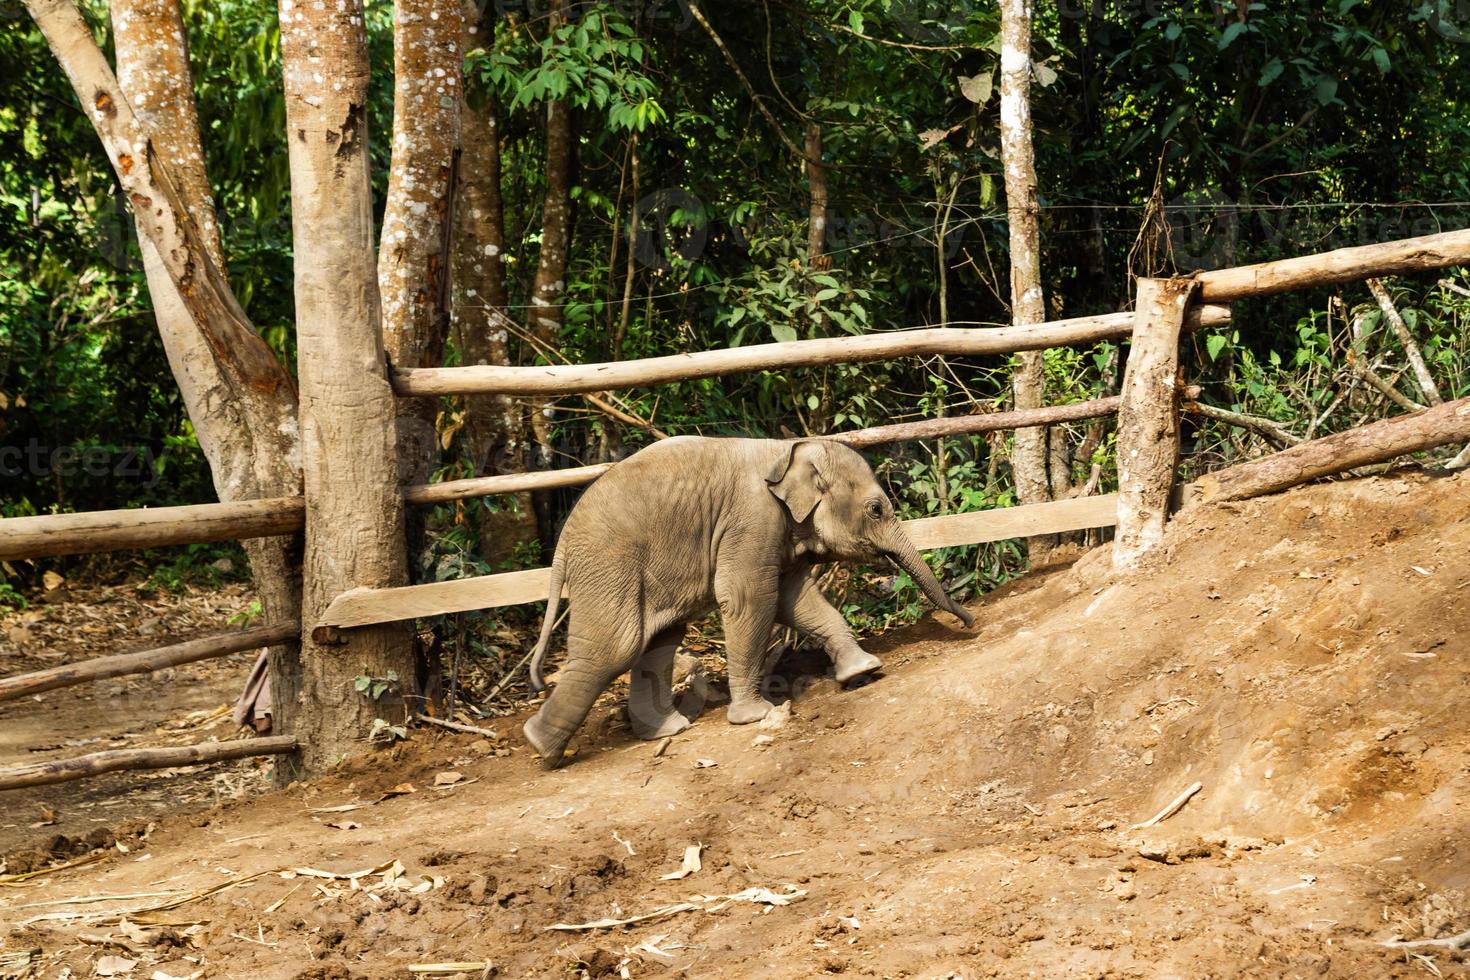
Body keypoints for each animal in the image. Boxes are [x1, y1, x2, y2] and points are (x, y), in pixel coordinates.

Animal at [523, 437, 970, 764]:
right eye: (876, 509)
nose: (969, 622)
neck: (788, 449)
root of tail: (562, 545)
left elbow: (796, 600)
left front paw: (864, 671)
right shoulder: (753, 520)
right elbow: (750, 598)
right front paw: (759, 716)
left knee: (659, 639)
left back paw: (669, 730)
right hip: (610, 562)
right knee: (618, 646)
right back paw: (543, 747)